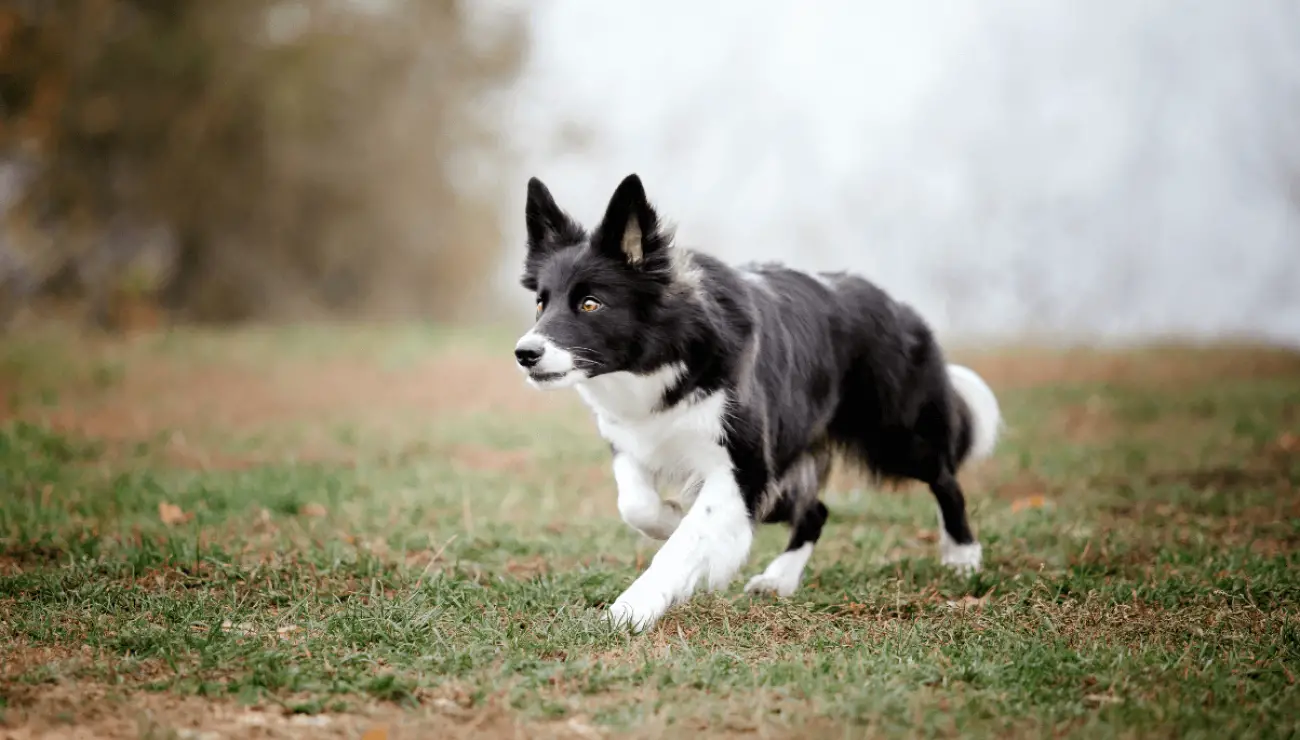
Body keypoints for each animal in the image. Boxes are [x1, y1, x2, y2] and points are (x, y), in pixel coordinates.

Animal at [512, 171, 998, 629]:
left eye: (591, 304)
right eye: (541, 304)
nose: (524, 353)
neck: (666, 356)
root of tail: (896, 304)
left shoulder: (743, 467)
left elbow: (687, 540)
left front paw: (633, 608)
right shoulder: (634, 441)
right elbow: (636, 505)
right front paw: (671, 518)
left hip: (893, 433)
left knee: (945, 479)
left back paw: (963, 558)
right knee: (816, 511)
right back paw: (779, 578)